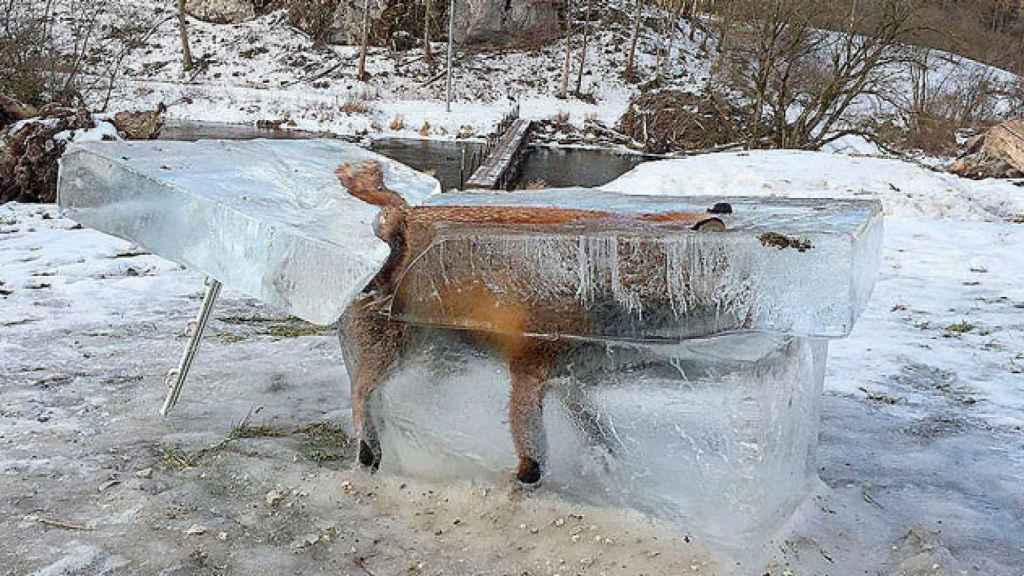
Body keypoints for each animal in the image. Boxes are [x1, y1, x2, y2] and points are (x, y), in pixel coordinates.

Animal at [339, 158, 724, 481]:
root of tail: (404, 216)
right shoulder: (530, 369)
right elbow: (534, 452)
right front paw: (526, 478)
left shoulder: (572, 380)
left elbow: (595, 429)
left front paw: (605, 461)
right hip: (395, 353)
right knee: (362, 394)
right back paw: (369, 450)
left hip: (441, 360)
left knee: (393, 399)